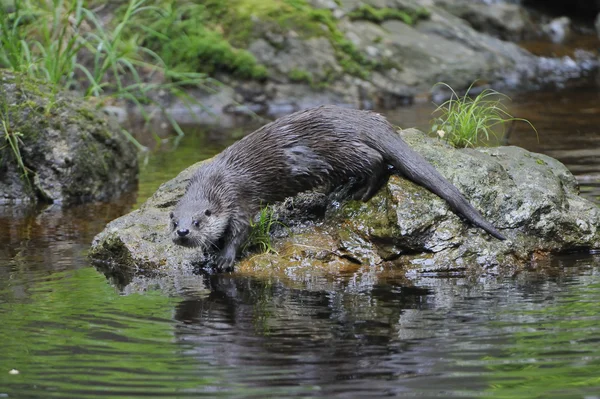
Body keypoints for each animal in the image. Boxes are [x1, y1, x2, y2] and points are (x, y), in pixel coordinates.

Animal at [170, 105, 506, 272]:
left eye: (197, 221)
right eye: (175, 222)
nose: (183, 232)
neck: (214, 181)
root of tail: (364, 120)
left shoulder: (239, 200)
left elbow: (240, 231)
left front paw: (225, 258)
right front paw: (208, 253)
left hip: (339, 151)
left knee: (376, 161)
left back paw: (360, 192)